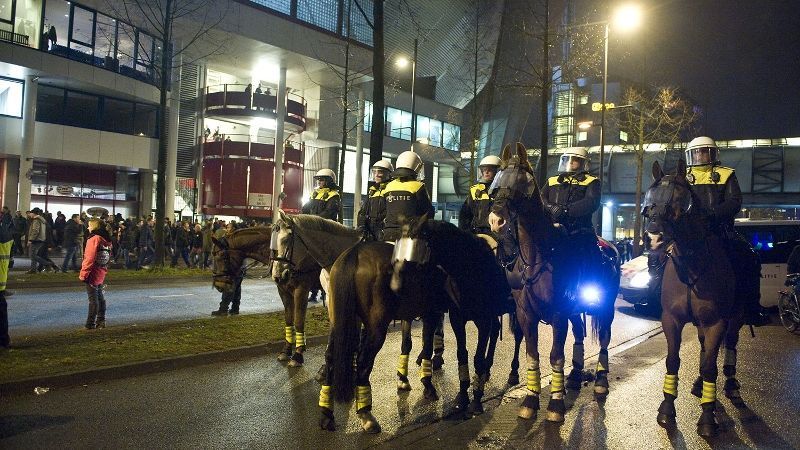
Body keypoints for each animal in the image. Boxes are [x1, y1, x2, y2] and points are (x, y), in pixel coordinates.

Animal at [212, 227, 324, 368]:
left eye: (221, 257)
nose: (218, 285)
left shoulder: (301, 290)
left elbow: (298, 322)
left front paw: (298, 355)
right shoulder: (284, 291)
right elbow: (289, 319)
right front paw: (286, 350)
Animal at [484, 143, 620, 422]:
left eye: (521, 182)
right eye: (497, 181)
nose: (496, 220)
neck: (539, 255)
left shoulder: (558, 314)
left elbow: (556, 356)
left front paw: (555, 404)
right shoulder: (526, 314)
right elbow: (532, 355)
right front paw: (530, 399)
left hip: (606, 308)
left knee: (604, 340)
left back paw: (601, 381)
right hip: (575, 311)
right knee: (579, 336)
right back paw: (576, 376)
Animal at [640, 161, 748, 436]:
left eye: (678, 203)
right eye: (649, 202)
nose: (653, 239)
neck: (691, 264)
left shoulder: (716, 322)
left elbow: (711, 366)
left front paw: (708, 416)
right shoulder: (671, 319)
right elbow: (673, 361)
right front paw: (667, 408)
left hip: (736, 318)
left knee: (730, 346)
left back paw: (731, 386)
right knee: (703, 347)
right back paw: (699, 383)